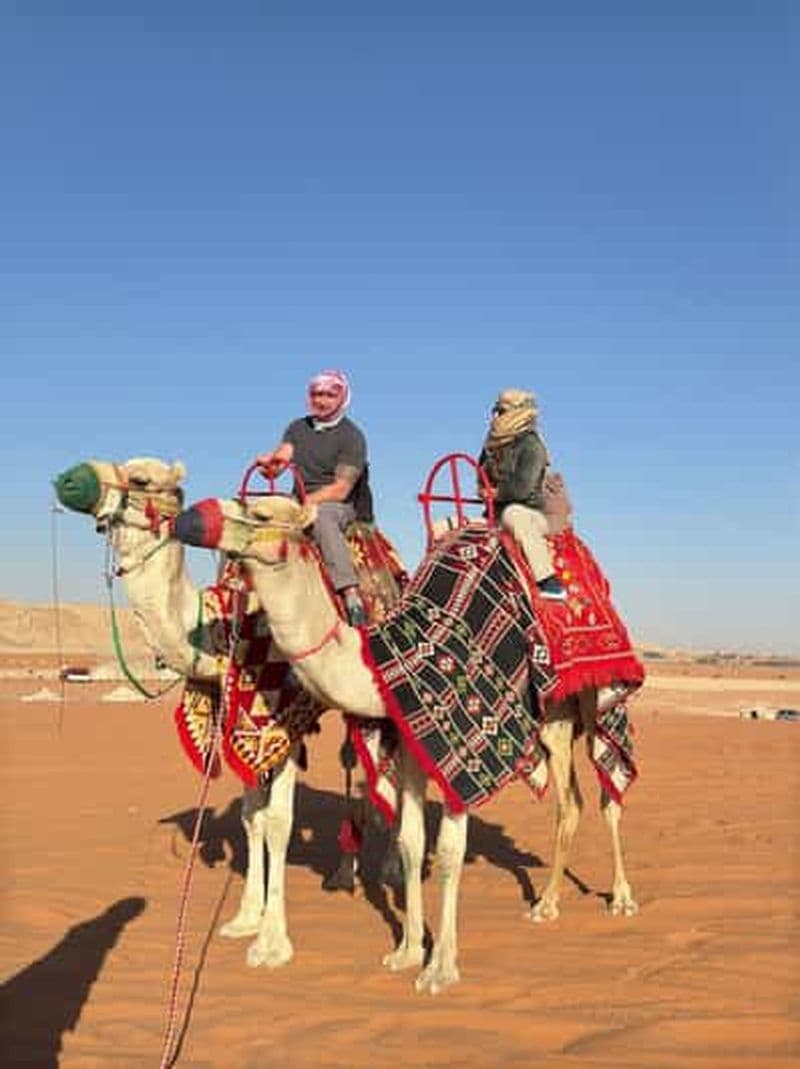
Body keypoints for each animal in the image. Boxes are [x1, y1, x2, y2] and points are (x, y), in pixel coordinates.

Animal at [54, 456, 391, 970]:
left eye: (142, 479)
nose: (69, 478)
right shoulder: (237, 722)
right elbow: (252, 817)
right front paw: (244, 918)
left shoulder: (282, 722)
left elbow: (278, 824)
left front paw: (272, 942)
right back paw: (343, 871)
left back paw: (382, 870)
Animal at [173, 491, 639, 993]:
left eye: (259, 513)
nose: (190, 517)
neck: (396, 656)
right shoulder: (414, 745)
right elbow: (411, 843)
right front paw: (408, 950)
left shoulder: (459, 746)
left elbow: (450, 854)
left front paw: (441, 968)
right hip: (555, 716)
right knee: (571, 802)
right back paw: (548, 902)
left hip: (596, 698)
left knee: (606, 791)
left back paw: (614, 898)